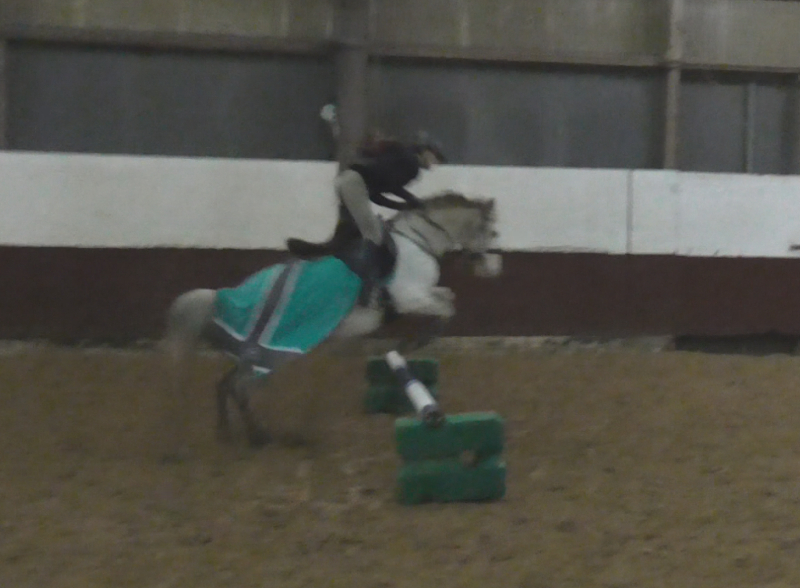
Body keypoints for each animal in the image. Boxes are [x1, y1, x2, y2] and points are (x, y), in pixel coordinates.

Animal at [159, 191, 501, 450]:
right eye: (493, 231)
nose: (494, 268)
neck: (417, 242)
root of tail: (219, 298)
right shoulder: (411, 297)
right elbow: (447, 307)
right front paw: (413, 342)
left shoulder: (423, 294)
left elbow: (448, 299)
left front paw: (414, 343)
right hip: (268, 355)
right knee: (240, 388)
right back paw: (261, 436)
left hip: (249, 358)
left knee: (226, 384)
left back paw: (228, 433)